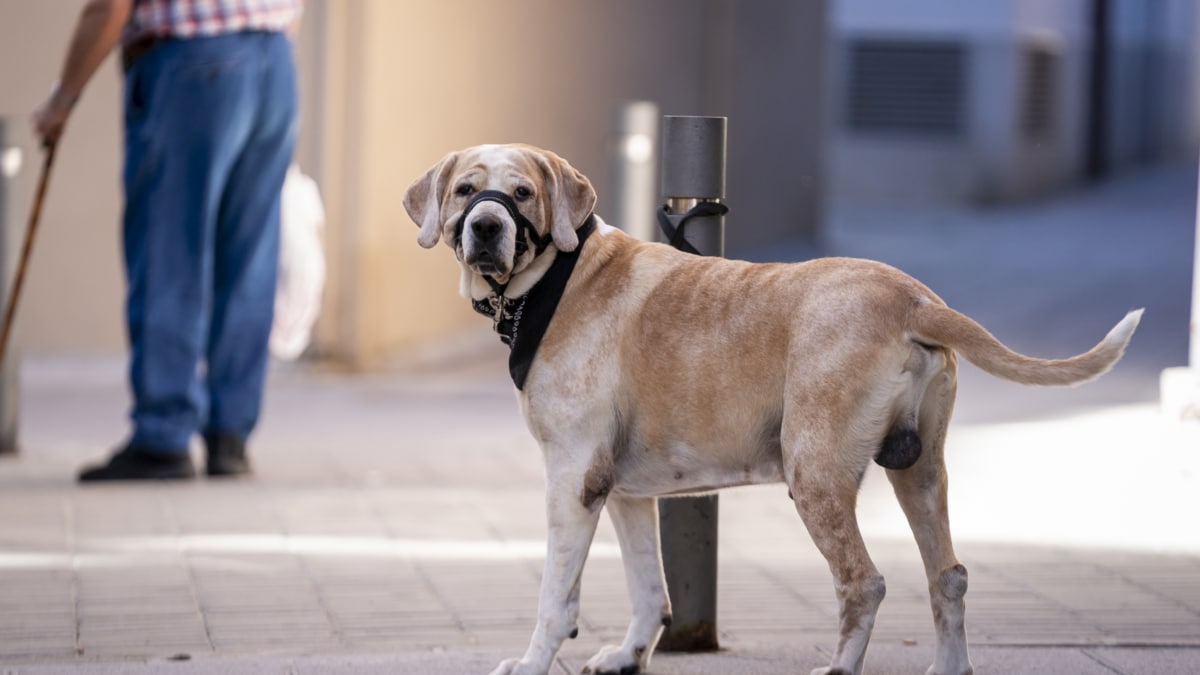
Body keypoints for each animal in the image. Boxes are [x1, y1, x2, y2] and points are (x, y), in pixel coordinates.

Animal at [400, 142, 1132, 672]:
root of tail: (914, 299)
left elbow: (556, 595)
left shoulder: (571, 480)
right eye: (465, 189)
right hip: (921, 471)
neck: (558, 278)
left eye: (522, 192)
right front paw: (630, 654)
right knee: (947, 576)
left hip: (815, 473)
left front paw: (531, 663)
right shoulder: (623, 489)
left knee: (864, 582)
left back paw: (838, 668)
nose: (485, 226)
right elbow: (647, 585)